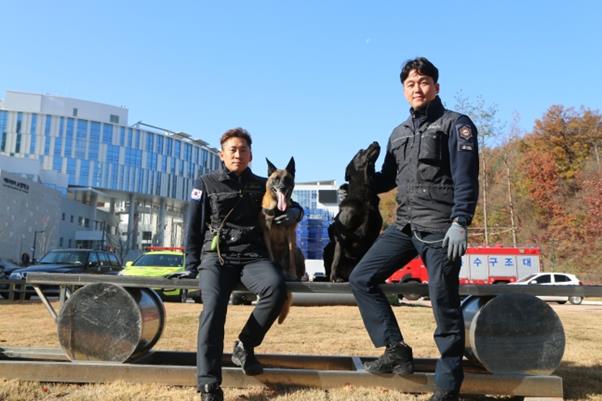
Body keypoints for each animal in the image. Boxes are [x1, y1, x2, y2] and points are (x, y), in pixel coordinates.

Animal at [258, 156, 304, 322]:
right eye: (276, 179)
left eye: (287, 179)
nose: (283, 188)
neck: (278, 210)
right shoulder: (265, 232)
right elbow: (271, 255)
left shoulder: (290, 233)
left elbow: (290, 256)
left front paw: (292, 275)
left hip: (299, 251)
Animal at [322, 141, 382, 282]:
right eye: (360, 151)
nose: (375, 142)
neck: (365, 194)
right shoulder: (341, 234)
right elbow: (337, 259)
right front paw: (335, 277)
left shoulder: (373, 234)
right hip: (327, 249)